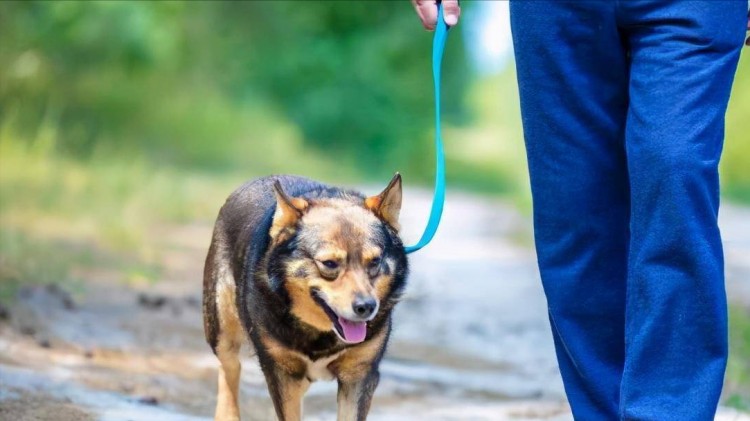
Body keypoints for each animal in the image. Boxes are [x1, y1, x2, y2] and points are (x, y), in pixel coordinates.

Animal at [203, 172, 408, 418]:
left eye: (375, 261)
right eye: (329, 264)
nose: (366, 307)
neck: (321, 333)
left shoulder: (359, 374)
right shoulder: (282, 373)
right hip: (220, 328)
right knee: (230, 367)